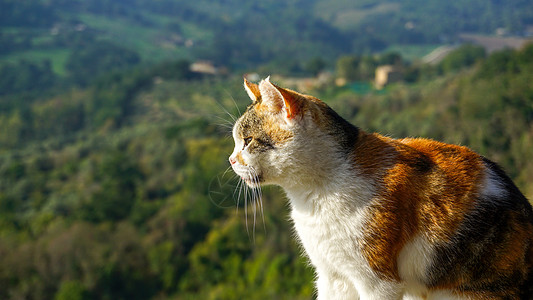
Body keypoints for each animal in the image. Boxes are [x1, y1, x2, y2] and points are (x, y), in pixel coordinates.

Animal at [228, 77, 532, 300]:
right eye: (235, 141)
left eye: (248, 141)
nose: (230, 160)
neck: (314, 194)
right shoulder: (332, 275)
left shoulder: (377, 281)